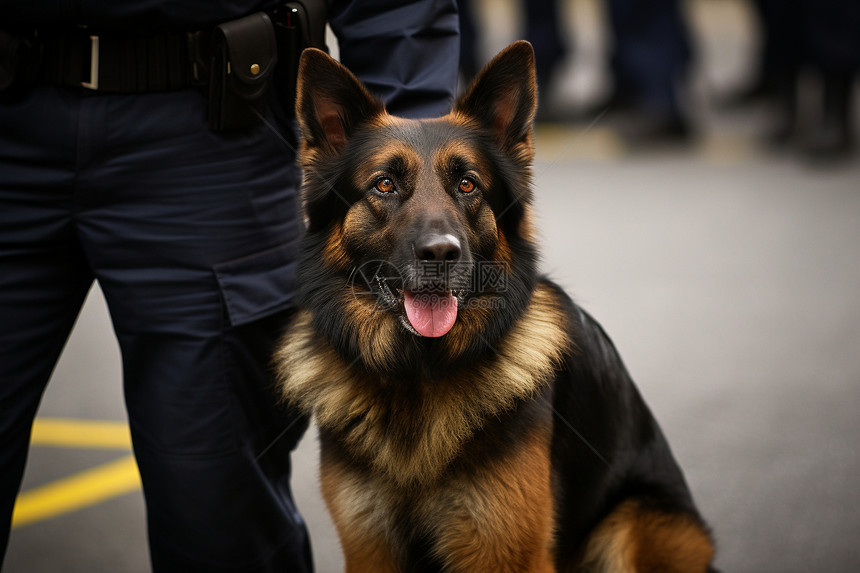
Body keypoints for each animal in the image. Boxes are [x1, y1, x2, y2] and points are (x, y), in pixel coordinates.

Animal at [274, 42, 712, 568]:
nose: (441, 254)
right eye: (384, 185)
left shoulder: (504, 549)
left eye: (468, 184)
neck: (418, 377)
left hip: (633, 523)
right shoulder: (370, 547)